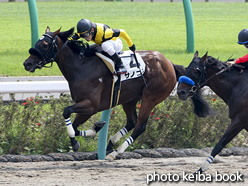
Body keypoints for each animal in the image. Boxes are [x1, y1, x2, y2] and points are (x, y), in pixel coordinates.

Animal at [23, 26, 185, 160]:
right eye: (37, 42)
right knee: (131, 122)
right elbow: (74, 127)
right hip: (130, 98)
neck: (81, 66)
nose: (27, 63)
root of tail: (169, 64)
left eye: (44, 44)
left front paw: (77, 141)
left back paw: (115, 152)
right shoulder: (86, 107)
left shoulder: (91, 105)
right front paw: (95, 128)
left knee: (139, 126)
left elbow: (66, 111)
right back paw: (110, 144)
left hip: (150, 98)